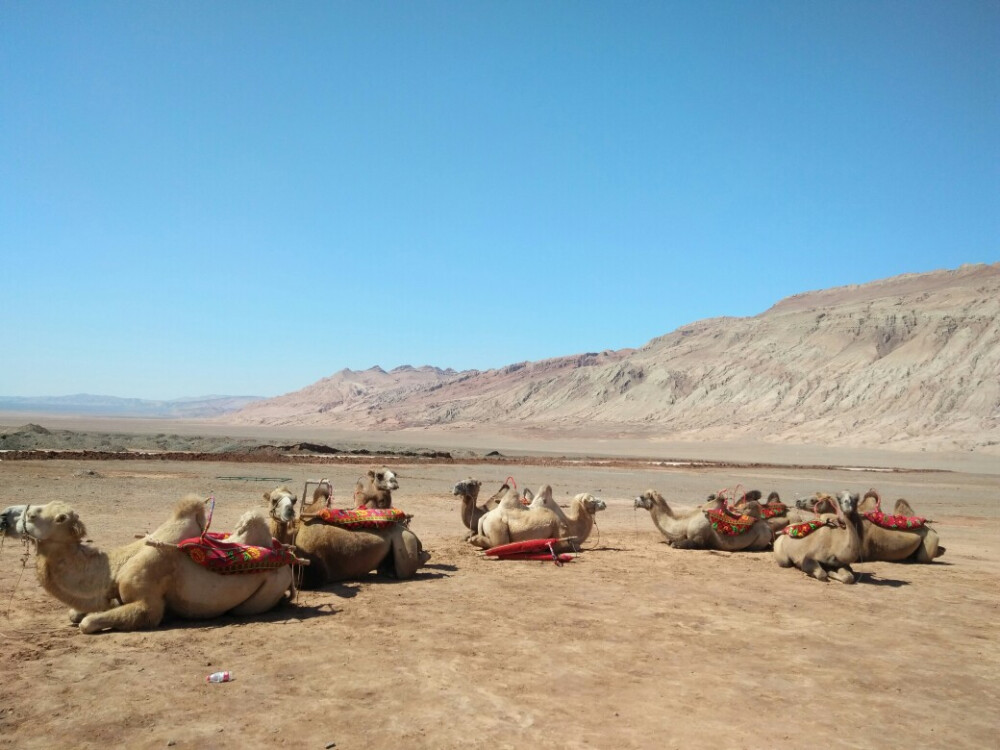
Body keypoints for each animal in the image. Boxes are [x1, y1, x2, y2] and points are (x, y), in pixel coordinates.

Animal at [1, 500, 292, 636]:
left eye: (33, 515)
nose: (3, 515)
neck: (113, 569)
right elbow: (76, 613)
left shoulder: (146, 601)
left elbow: (88, 622)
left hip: (267, 590)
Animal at [266, 488, 430, 588]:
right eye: (273, 499)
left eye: (294, 500)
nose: (288, 512)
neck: (294, 533)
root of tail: (406, 527)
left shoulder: (318, 571)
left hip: (405, 540)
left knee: (409, 567)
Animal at [632, 494, 772, 552]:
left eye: (643, 497)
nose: (634, 501)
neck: (686, 523)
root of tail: (769, 528)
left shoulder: (698, 538)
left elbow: (675, 544)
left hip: (760, 539)